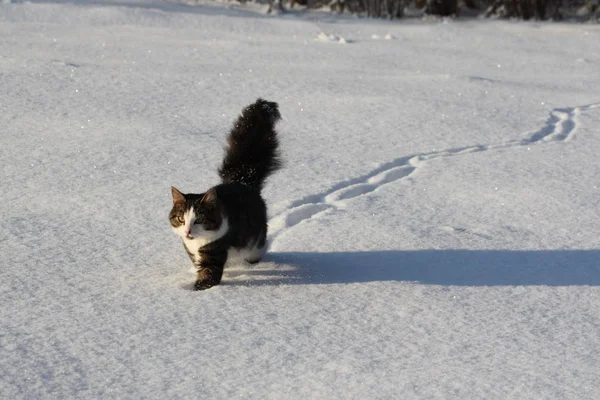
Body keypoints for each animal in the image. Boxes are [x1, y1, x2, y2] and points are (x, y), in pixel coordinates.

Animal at [169, 98, 282, 290]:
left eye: (199, 219)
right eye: (181, 219)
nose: (188, 232)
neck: (196, 242)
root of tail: (242, 181)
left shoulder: (216, 249)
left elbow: (209, 274)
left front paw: (197, 289)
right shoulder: (191, 250)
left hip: (255, 241)